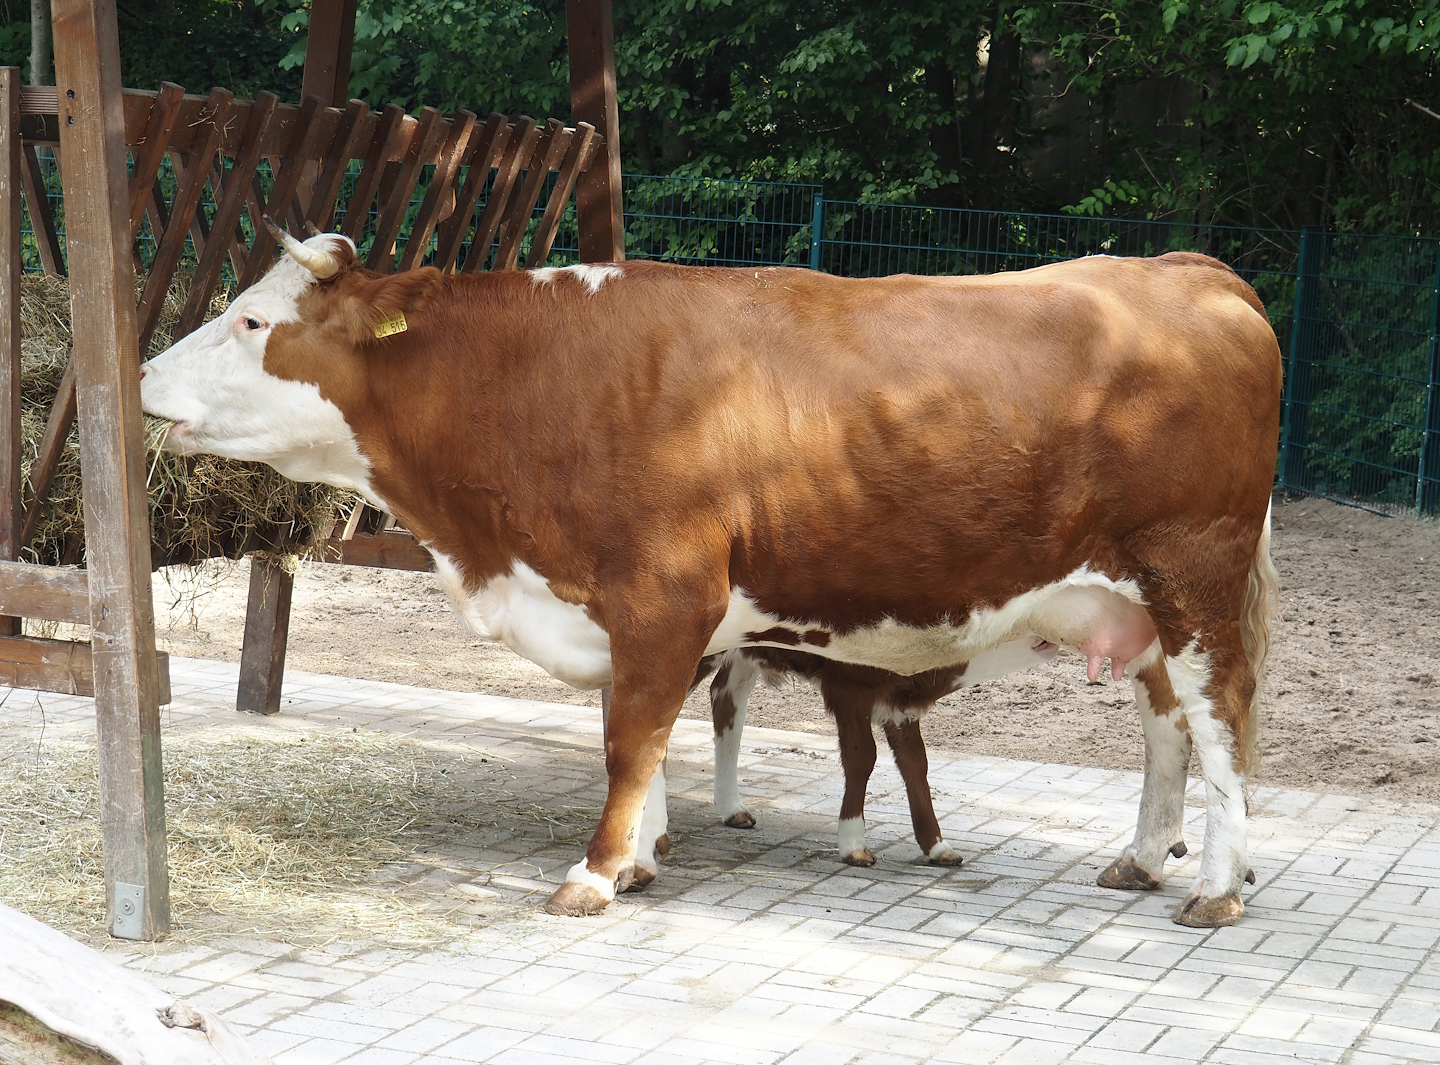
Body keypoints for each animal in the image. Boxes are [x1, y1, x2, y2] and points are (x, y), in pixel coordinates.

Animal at [139, 222, 1281, 927]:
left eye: (250, 320)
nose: (142, 371)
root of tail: (1189, 269)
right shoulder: (631, 614)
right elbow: (640, 732)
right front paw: (644, 858)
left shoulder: (662, 593)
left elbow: (629, 739)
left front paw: (594, 874)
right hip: (1136, 605)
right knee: (1167, 728)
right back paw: (1144, 856)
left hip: (1196, 578)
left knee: (1222, 719)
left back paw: (1220, 886)